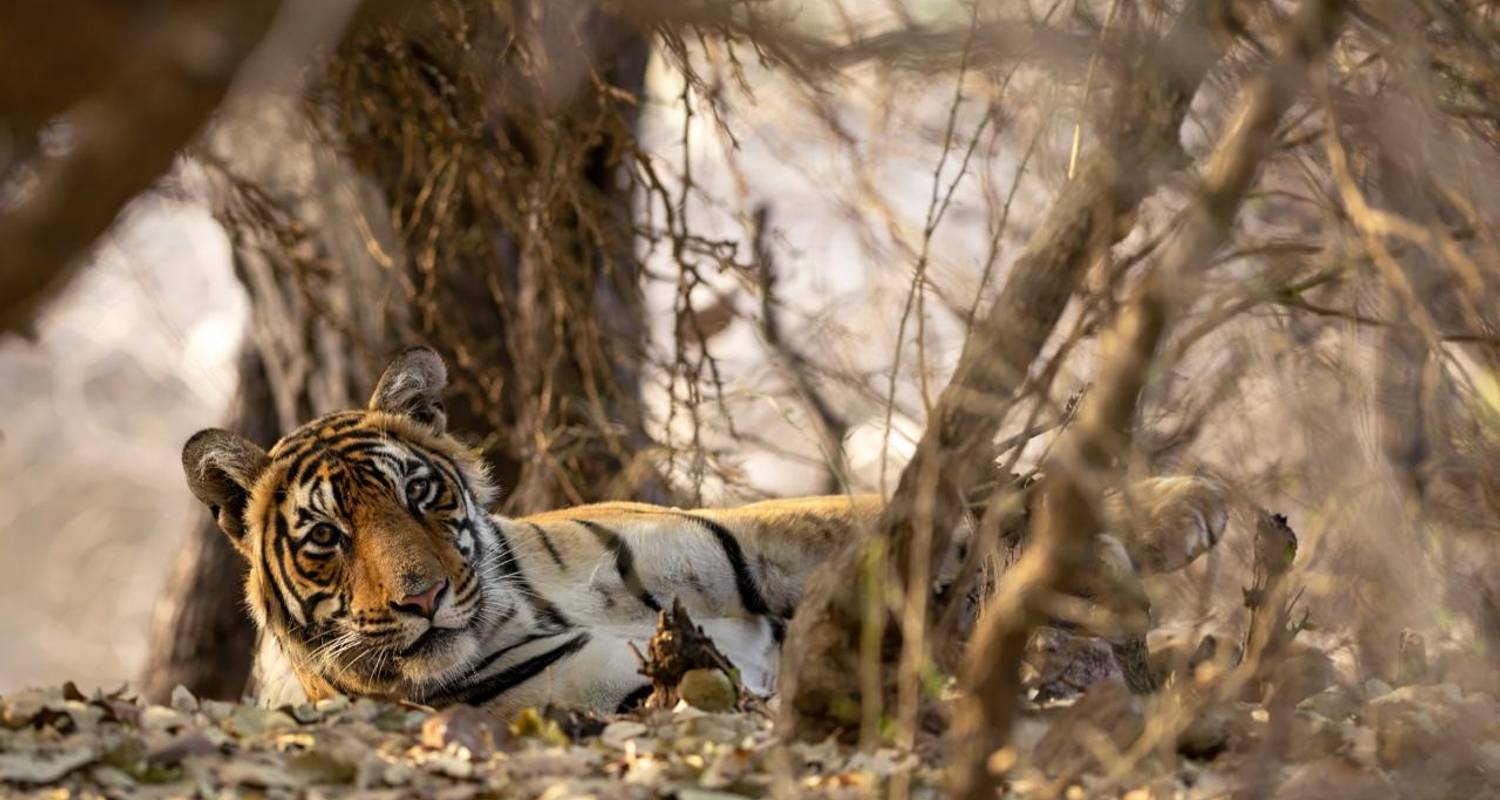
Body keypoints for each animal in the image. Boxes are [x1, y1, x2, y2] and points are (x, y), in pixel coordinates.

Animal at [182, 346, 1229, 716]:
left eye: (420, 497)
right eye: (326, 539)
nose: (425, 596)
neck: (524, 602)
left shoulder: (731, 540)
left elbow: (913, 513)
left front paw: (1176, 508)